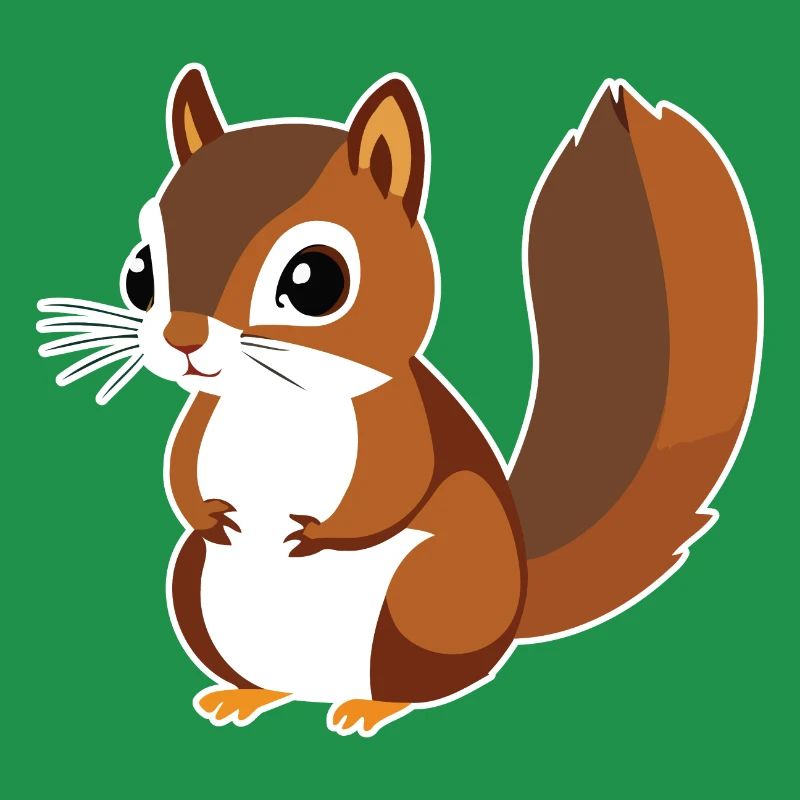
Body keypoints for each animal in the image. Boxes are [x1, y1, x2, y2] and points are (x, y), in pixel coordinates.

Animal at [37, 64, 761, 736]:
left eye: (315, 280)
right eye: (140, 270)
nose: (182, 338)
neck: (273, 402)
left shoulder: (399, 423)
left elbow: (391, 489)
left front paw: (315, 534)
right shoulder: (203, 421)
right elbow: (180, 473)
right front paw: (210, 515)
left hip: (427, 598)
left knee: (417, 682)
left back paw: (369, 707)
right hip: (195, 588)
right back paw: (246, 695)